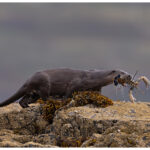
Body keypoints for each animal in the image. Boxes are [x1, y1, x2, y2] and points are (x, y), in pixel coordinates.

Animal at [0, 68, 131, 108]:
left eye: (126, 71)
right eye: (122, 72)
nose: (129, 75)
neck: (93, 77)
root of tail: (29, 79)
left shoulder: (96, 87)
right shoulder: (75, 83)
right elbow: (68, 92)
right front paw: (64, 100)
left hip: (33, 92)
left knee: (23, 100)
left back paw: (26, 106)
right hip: (44, 83)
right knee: (45, 97)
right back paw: (53, 100)